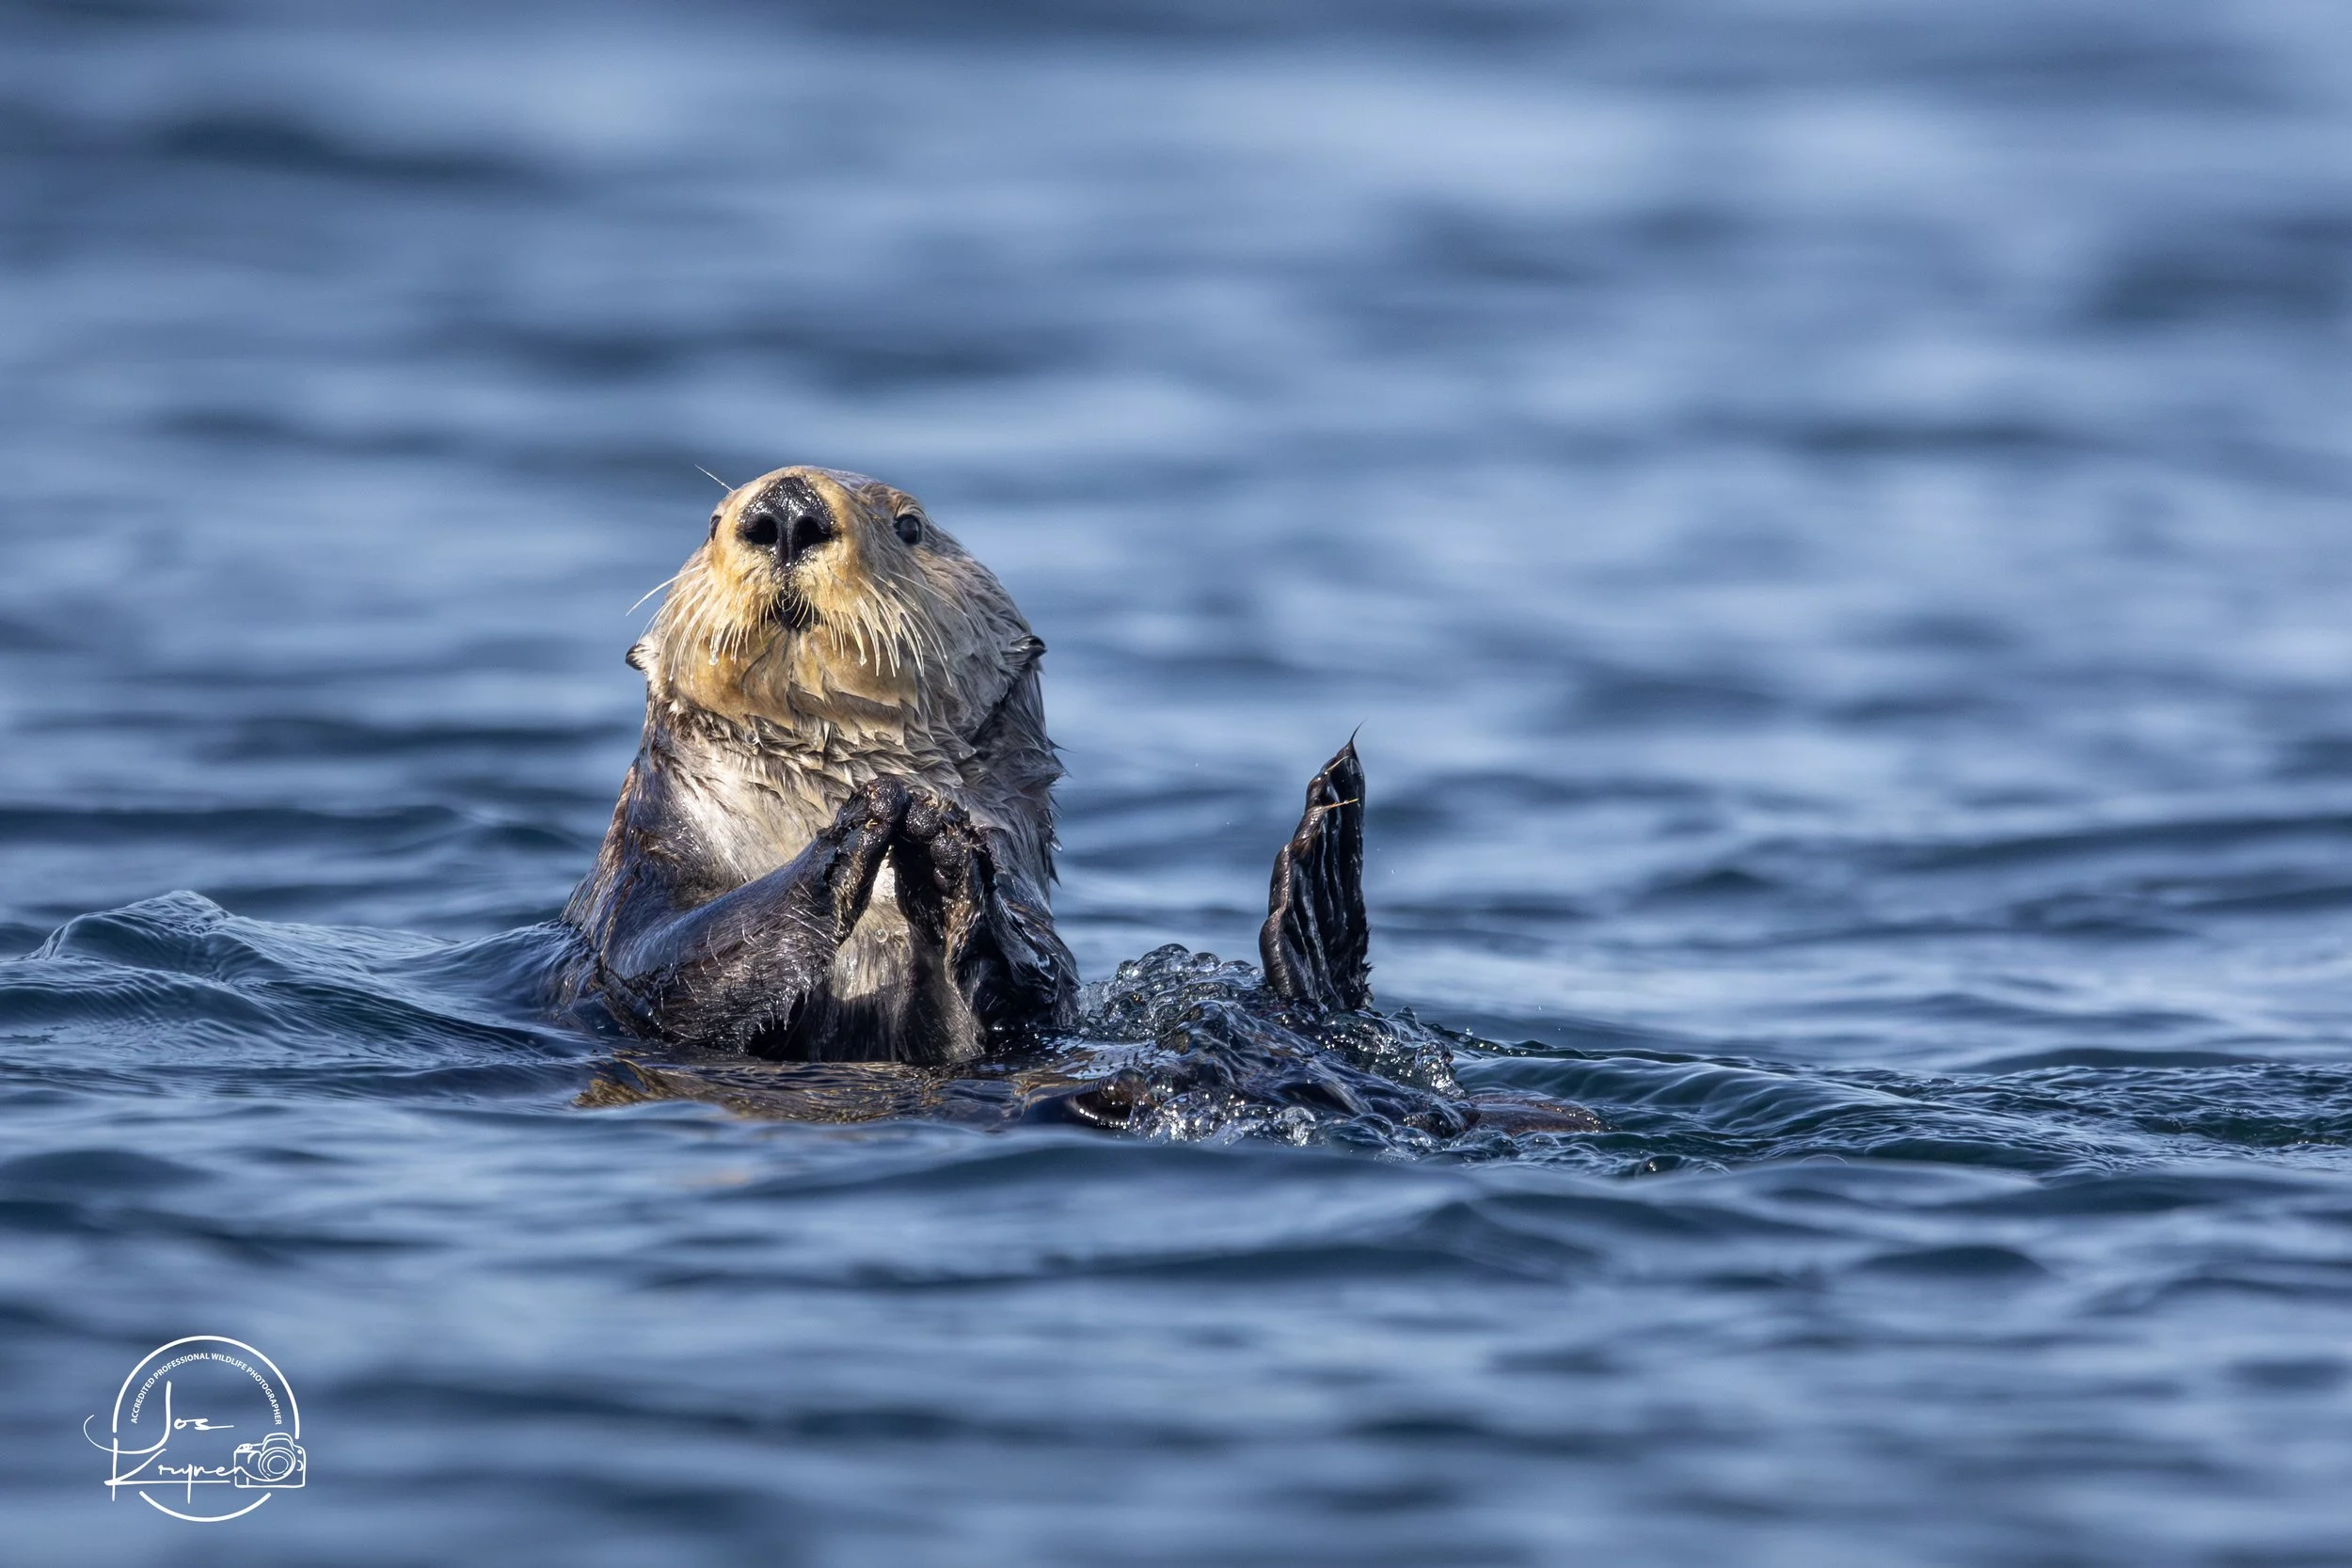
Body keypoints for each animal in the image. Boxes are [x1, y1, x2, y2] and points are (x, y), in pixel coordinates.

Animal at [560, 465, 1367, 1066]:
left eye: (910, 526)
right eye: (710, 521)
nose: (785, 510)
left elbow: (1028, 997)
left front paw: (944, 847)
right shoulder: (635, 893)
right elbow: (665, 973)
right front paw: (860, 824)